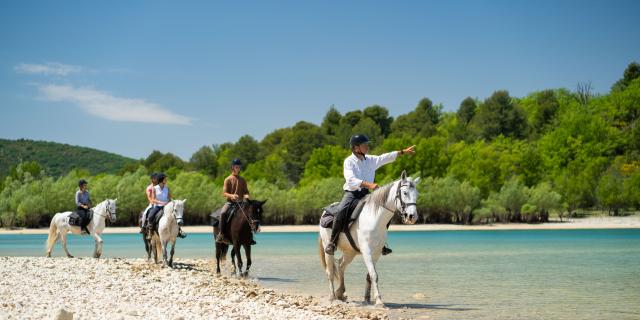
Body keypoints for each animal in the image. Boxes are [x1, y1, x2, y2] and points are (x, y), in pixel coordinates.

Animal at [318, 171, 418, 308]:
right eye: (405, 193)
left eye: (417, 194)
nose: (412, 217)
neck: (374, 218)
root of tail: (324, 212)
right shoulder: (367, 252)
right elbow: (373, 274)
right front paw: (379, 301)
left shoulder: (376, 253)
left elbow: (369, 275)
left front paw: (367, 299)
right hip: (328, 249)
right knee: (330, 272)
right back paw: (332, 297)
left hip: (350, 252)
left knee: (341, 265)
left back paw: (341, 293)